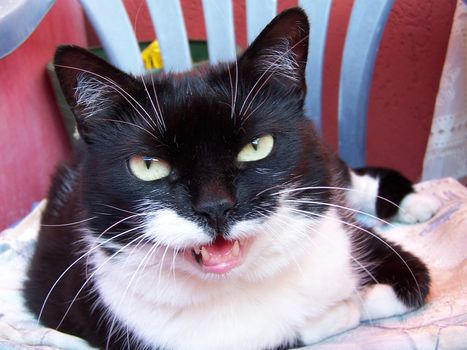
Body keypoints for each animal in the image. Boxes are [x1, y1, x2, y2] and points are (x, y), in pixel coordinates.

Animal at [23, 8, 440, 350]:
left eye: (256, 146)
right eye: (148, 165)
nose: (215, 207)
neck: (241, 282)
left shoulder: (348, 238)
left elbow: (415, 281)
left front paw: (350, 301)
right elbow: (295, 331)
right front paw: (338, 311)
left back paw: (418, 203)